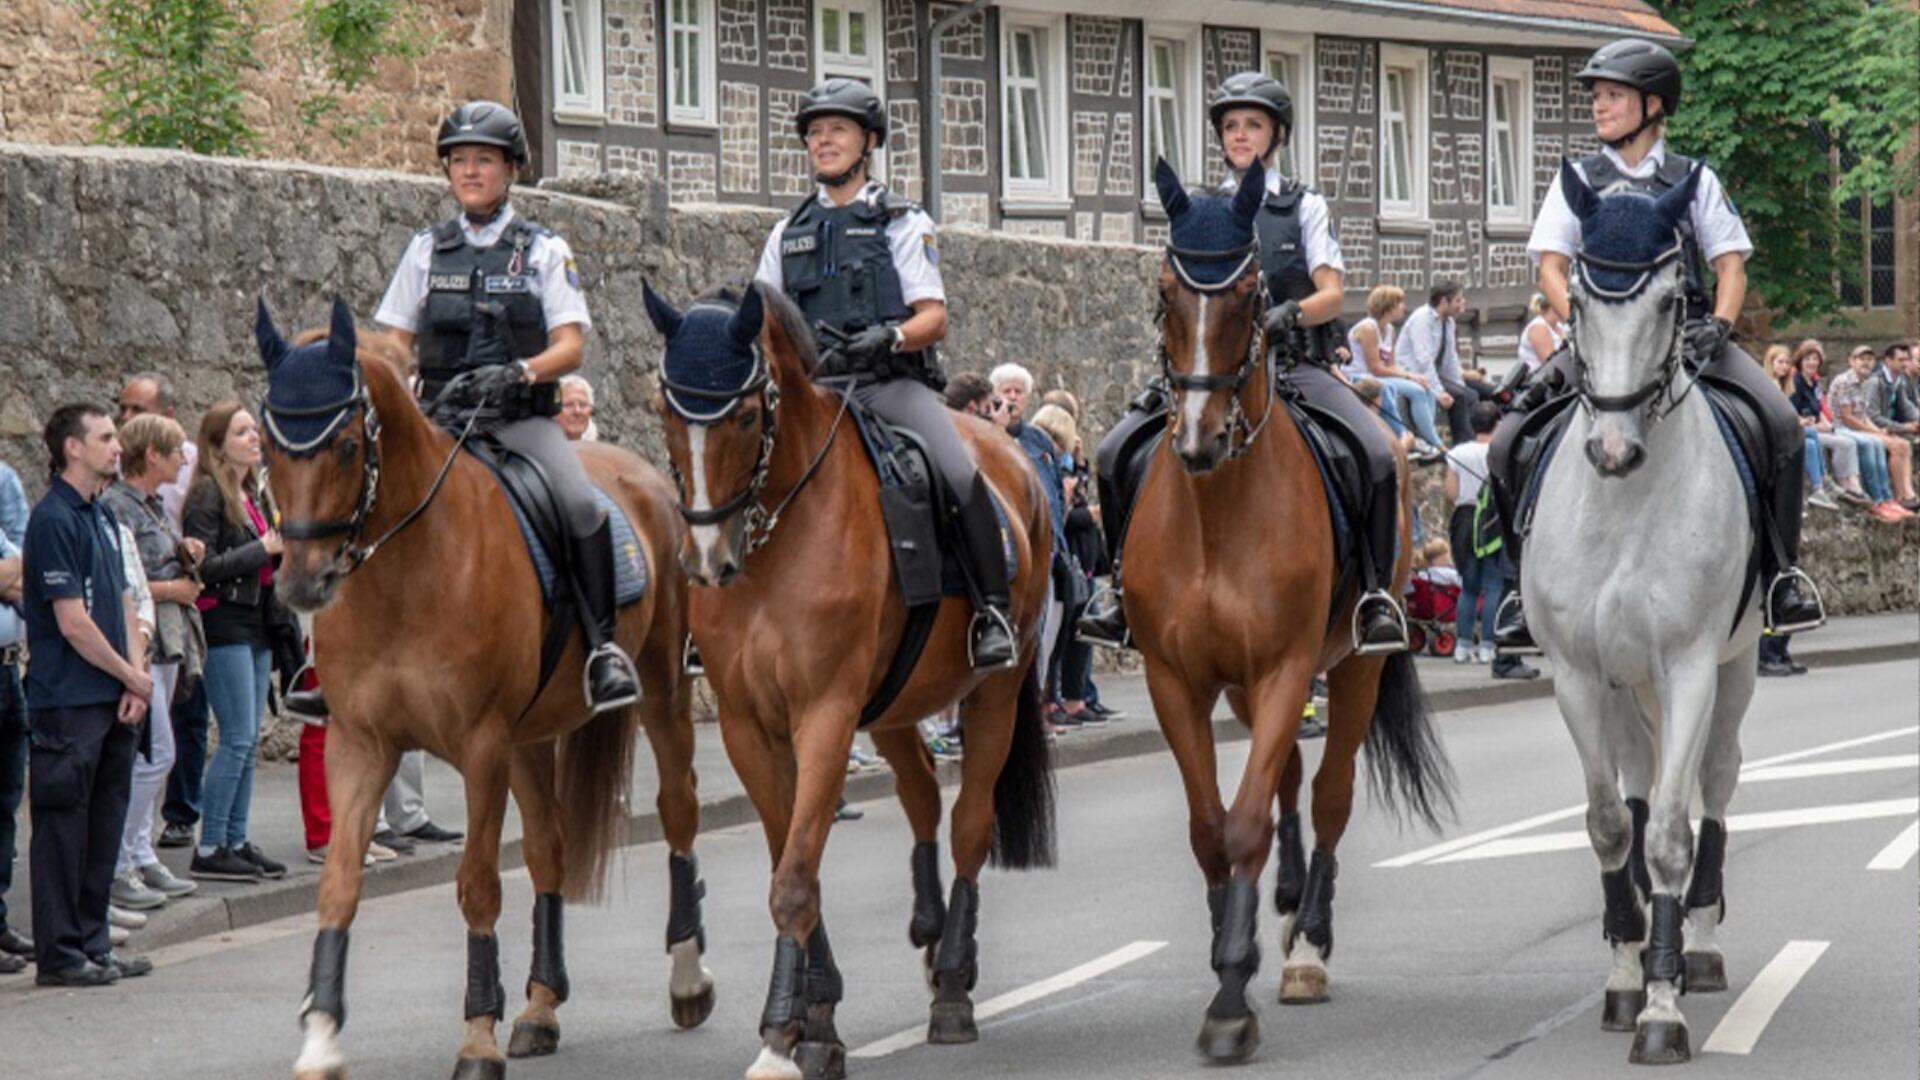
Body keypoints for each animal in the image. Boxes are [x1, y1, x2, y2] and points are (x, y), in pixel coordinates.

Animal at [255, 298, 715, 1080]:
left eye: (345, 445)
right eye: (267, 444)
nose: (301, 583)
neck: (406, 570)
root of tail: (641, 475)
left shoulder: (479, 747)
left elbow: (477, 884)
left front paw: (476, 1037)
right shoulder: (360, 744)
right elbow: (339, 882)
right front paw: (320, 1036)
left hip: (657, 694)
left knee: (678, 811)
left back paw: (687, 978)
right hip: (530, 738)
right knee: (550, 849)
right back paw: (539, 1008)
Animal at [642, 280, 1056, 1080]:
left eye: (744, 414)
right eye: (666, 409)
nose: (706, 561)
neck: (776, 539)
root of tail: (1016, 462)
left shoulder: (825, 716)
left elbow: (794, 880)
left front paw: (781, 1037)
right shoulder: (749, 728)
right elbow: (791, 862)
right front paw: (819, 1015)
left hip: (994, 690)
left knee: (968, 823)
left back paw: (952, 982)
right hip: (895, 706)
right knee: (923, 794)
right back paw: (931, 934)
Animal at [1122, 161, 1455, 1064]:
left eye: (1247, 294)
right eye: (1166, 291)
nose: (1196, 438)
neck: (1215, 514)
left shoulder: (1283, 668)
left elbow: (1243, 826)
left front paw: (1231, 1000)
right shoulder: (1177, 680)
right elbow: (1212, 826)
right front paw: (1223, 951)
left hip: (1354, 669)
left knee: (1332, 792)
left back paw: (1310, 940)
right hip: (1249, 686)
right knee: (1291, 785)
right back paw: (1287, 900)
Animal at [1525, 160, 1760, 1065]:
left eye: (1669, 302)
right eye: (1582, 302)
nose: (1613, 451)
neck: (1625, 504)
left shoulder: (1690, 664)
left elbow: (1668, 832)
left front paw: (1664, 1007)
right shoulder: (1578, 674)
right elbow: (1607, 824)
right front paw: (1628, 979)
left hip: (1734, 668)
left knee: (1714, 783)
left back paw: (1700, 946)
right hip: (1626, 685)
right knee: (1636, 785)